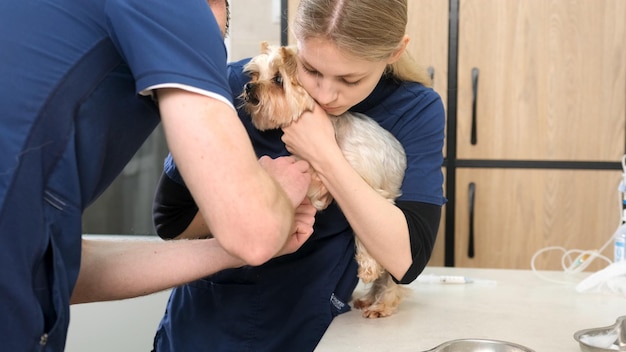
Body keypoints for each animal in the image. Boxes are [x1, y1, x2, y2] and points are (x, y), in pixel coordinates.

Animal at [241, 42, 408, 318]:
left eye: (278, 80)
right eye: (255, 75)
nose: (248, 86)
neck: (333, 131)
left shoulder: (372, 191)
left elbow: (364, 238)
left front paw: (368, 267)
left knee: (392, 279)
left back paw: (382, 305)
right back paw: (368, 300)